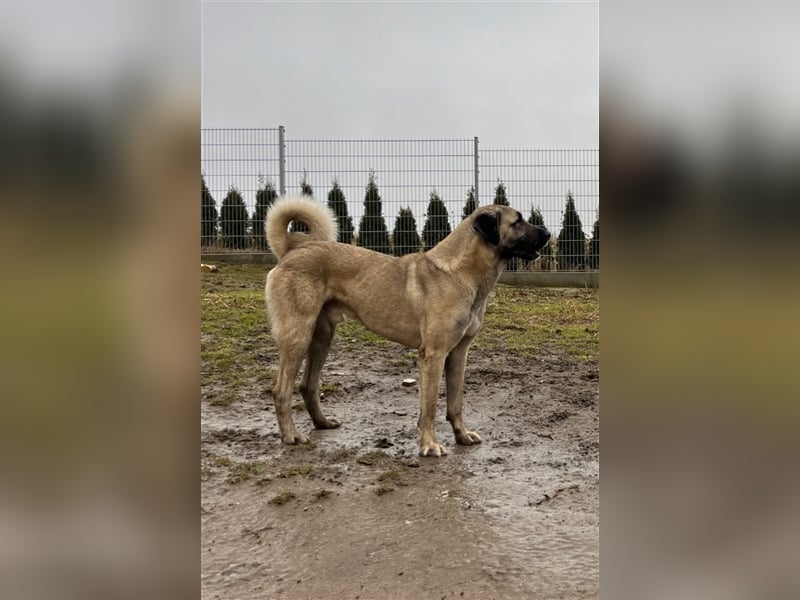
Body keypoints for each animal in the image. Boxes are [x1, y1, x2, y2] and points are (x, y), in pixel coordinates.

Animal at [264, 195, 552, 458]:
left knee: (308, 385)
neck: (460, 273)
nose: (549, 234)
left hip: (322, 337)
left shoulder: (459, 354)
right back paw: (291, 435)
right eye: (517, 221)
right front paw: (429, 445)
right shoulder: (433, 355)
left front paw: (461, 435)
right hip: (298, 336)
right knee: (281, 390)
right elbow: (430, 407)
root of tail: (293, 249)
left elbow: (455, 403)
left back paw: (322, 423)